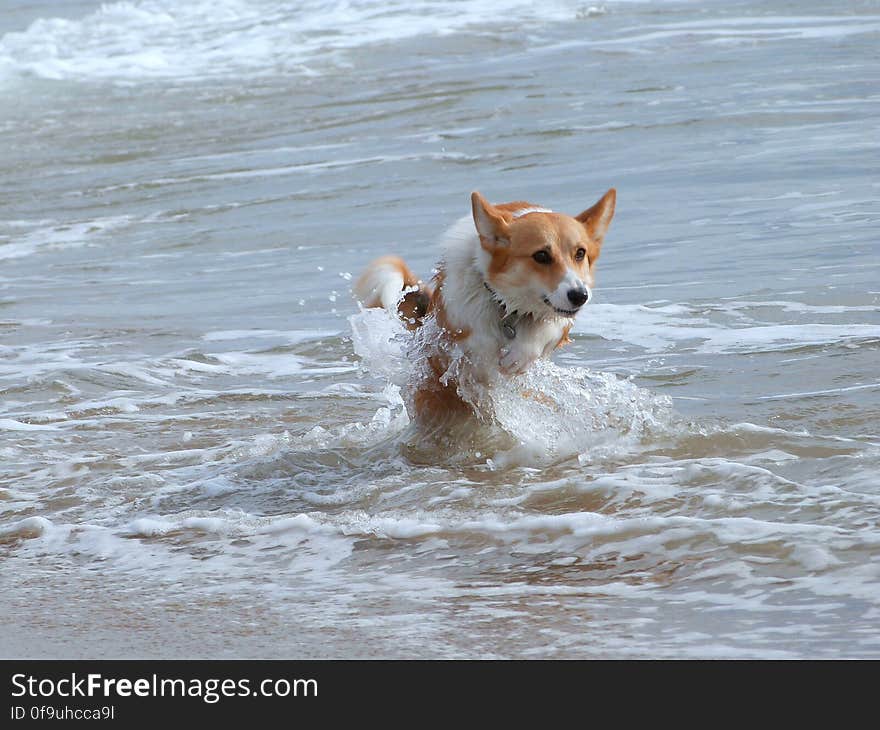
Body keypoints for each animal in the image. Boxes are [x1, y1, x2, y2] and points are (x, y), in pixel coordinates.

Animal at [354, 188, 616, 420]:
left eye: (580, 253)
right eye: (541, 256)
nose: (580, 296)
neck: (507, 308)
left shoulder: (559, 319)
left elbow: (544, 328)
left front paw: (519, 354)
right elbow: (476, 349)